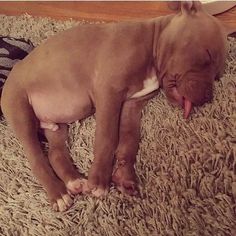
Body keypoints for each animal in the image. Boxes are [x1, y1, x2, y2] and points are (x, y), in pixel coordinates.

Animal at [0, 1, 230, 212]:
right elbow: (107, 138)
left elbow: (129, 141)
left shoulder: (132, 105)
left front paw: (124, 177)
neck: (152, 44)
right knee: (36, 157)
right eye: (207, 56)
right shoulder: (109, 94)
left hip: (57, 125)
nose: (208, 97)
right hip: (20, 110)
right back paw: (58, 194)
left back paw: (74, 182)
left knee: (55, 153)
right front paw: (99, 182)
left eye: (218, 76)